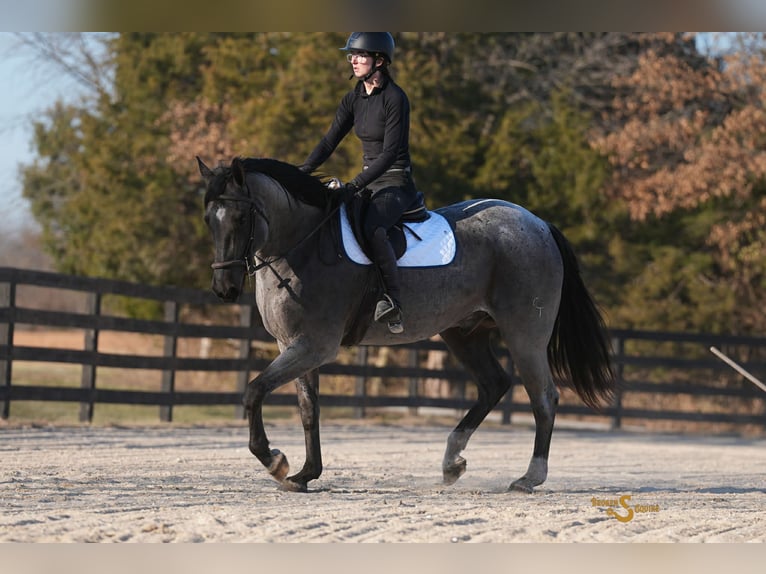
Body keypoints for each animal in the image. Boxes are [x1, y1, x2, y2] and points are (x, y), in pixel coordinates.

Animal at [197, 156, 615, 493]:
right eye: (208, 220)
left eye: (241, 218)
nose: (223, 288)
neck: (302, 244)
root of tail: (538, 223)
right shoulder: (293, 345)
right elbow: (307, 408)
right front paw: (305, 474)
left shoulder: (314, 345)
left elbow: (254, 391)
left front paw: (275, 462)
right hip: (464, 332)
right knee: (493, 384)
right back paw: (451, 462)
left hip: (524, 334)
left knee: (543, 397)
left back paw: (529, 478)